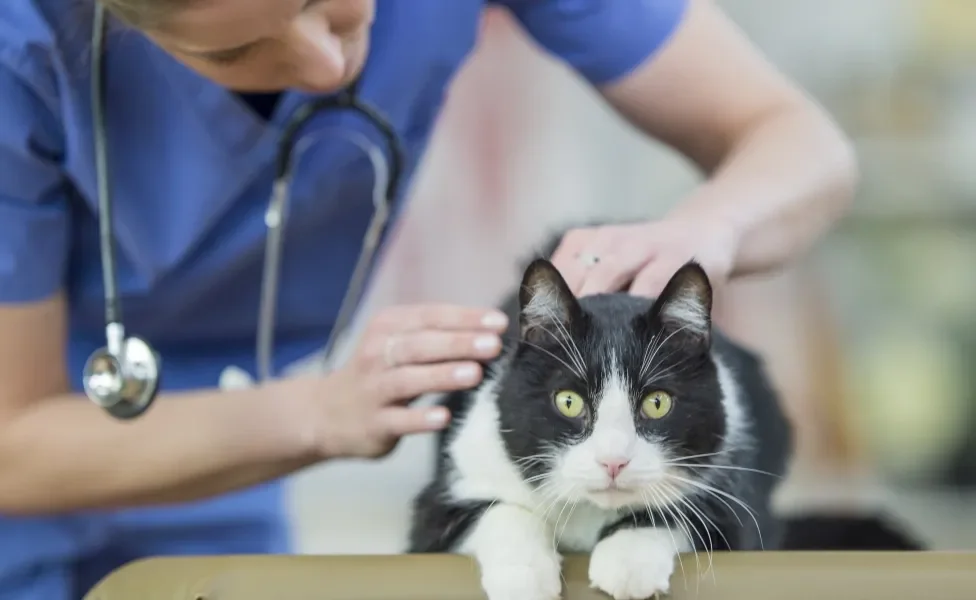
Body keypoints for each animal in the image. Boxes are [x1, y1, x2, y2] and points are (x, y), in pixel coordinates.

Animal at [404, 246, 792, 596]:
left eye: (657, 403)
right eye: (569, 402)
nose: (613, 462)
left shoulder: (735, 502)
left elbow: (685, 512)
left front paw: (629, 560)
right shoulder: (452, 483)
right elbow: (495, 510)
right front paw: (523, 574)